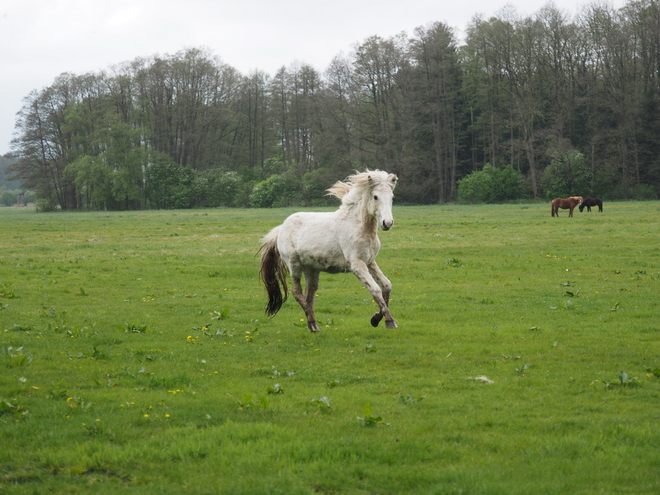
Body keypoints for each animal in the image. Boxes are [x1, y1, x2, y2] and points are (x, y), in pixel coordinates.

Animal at [260, 170, 400, 334]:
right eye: (375, 196)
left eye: (392, 197)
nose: (387, 223)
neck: (358, 226)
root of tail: (281, 228)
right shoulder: (357, 265)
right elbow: (375, 290)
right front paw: (389, 321)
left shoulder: (370, 262)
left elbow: (386, 285)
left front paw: (376, 319)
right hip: (294, 265)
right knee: (297, 292)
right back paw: (312, 322)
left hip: (311, 269)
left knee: (309, 294)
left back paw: (312, 325)